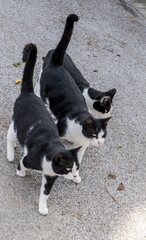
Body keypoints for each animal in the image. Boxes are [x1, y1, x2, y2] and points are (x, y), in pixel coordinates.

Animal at [6, 43, 81, 216]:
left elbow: (45, 192)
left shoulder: (51, 176)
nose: (74, 174)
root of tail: (29, 93)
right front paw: (21, 172)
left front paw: (42, 207)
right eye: (68, 167)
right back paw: (10, 153)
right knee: (9, 137)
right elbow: (22, 163)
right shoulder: (30, 159)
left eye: (76, 167)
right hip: (16, 126)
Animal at [35, 14, 110, 165]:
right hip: (43, 90)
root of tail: (57, 64)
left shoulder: (83, 144)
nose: (99, 143)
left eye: (103, 135)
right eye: (94, 134)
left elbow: (78, 156)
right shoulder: (61, 126)